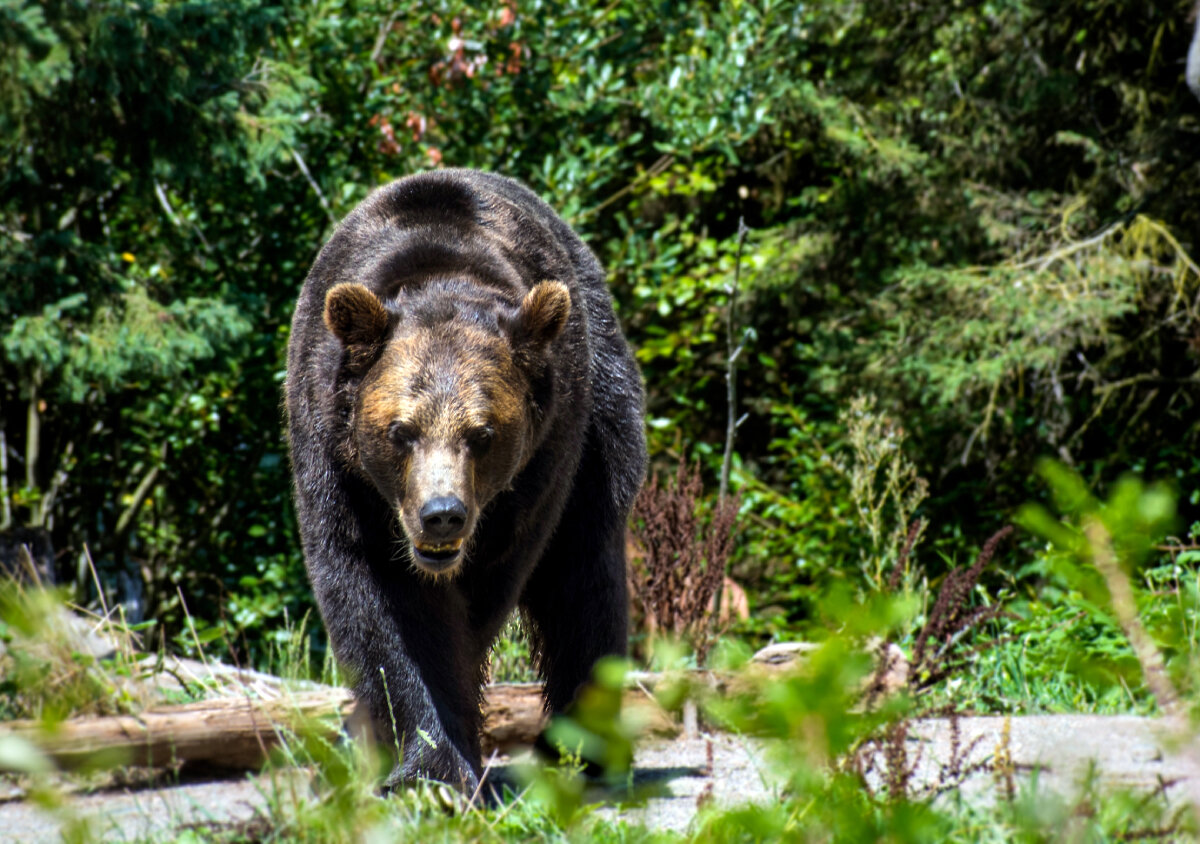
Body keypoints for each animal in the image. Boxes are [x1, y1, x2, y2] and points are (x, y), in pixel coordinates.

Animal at [283, 170, 648, 792]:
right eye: (400, 430)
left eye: (483, 433)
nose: (442, 515)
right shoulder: (336, 463)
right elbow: (387, 607)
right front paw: (426, 763)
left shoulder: (540, 465)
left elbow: (488, 588)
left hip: (603, 418)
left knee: (584, 579)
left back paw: (580, 752)